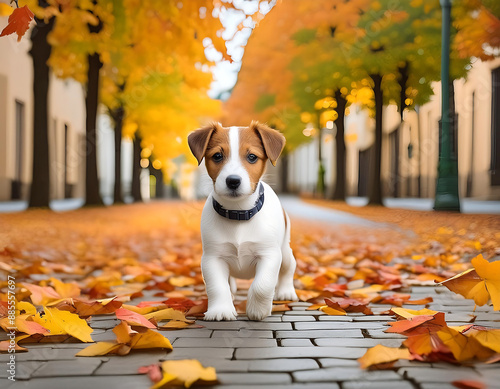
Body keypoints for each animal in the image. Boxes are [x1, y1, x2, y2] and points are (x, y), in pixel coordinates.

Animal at [188, 122, 296, 322]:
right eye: (217, 156)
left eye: (252, 157)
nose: (233, 181)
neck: (239, 213)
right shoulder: (212, 257)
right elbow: (217, 286)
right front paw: (221, 310)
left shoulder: (269, 255)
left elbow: (262, 285)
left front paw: (257, 310)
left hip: (285, 252)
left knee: (288, 269)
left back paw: (286, 292)